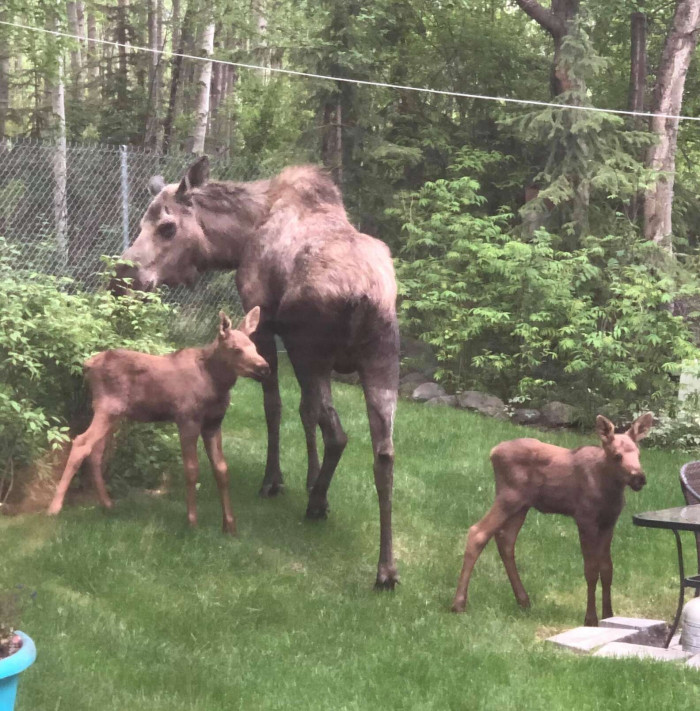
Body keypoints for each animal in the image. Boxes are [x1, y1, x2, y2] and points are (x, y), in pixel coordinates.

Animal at [46, 307, 270, 534]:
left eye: (254, 346)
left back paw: (107, 504)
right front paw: (192, 522)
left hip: (114, 415)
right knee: (81, 442)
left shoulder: (214, 423)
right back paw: (54, 508)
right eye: (236, 349)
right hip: (106, 407)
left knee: (96, 450)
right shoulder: (187, 418)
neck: (216, 384)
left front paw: (229, 526)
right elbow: (192, 469)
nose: (264, 367)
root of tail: (87, 365)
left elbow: (222, 470)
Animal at [451, 413, 654, 626]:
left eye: (638, 454)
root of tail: (493, 452)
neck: (608, 489)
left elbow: (607, 569)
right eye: (617, 455)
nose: (639, 478)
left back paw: (523, 600)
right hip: (508, 497)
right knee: (478, 532)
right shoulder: (585, 518)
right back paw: (459, 603)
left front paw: (609, 615)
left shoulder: (609, 521)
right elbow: (591, 570)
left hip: (521, 505)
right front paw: (590, 619)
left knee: (505, 539)